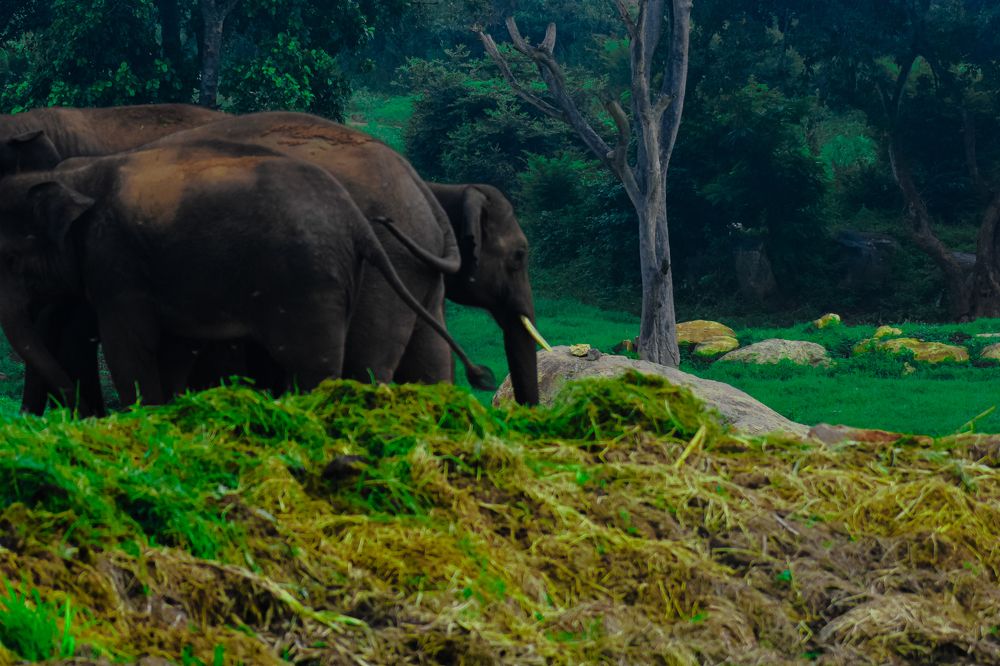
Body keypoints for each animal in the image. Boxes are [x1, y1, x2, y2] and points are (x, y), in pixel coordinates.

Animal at [0, 139, 492, 408]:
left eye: (10, 258)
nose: (79, 404)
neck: (77, 178)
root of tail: (358, 223)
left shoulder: (116, 264)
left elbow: (130, 347)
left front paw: (146, 412)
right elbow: (175, 349)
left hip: (309, 280)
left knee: (315, 362)